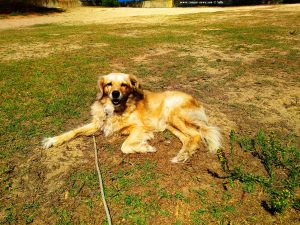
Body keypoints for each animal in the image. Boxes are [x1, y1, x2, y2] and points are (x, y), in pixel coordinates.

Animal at [41, 73, 220, 163]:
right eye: (108, 84)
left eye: (124, 85)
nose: (115, 93)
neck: (115, 109)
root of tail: (196, 101)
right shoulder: (98, 123)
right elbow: (73, 131)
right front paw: (53, 140)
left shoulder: (140, 127)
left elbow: (125, 146)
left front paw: (145, 147)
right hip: (169, 124)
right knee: (188, 138)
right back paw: (183, 154)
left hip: (173, 114)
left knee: (196, 135)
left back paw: (184, 155)